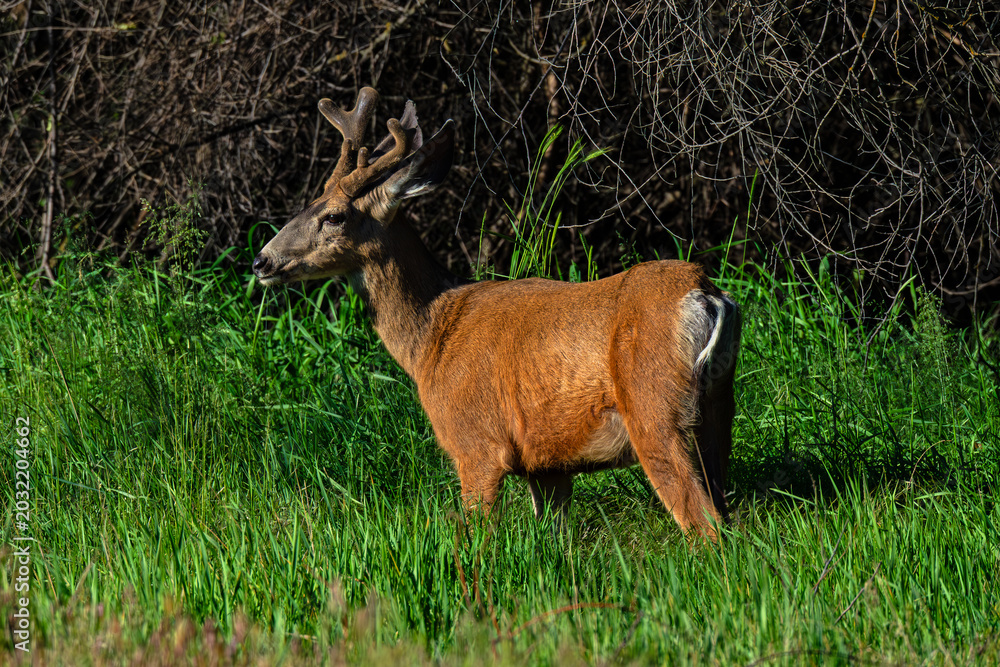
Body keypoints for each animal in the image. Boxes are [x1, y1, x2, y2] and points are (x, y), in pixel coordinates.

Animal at [252, 87, 742, 541]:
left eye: (334, 216)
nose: (262, 261)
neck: (431, 339)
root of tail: (704, 295)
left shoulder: (476, 443)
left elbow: (476, 532)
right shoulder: (546, 463)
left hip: (653, 407)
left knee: (705, 523)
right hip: (718, 406)